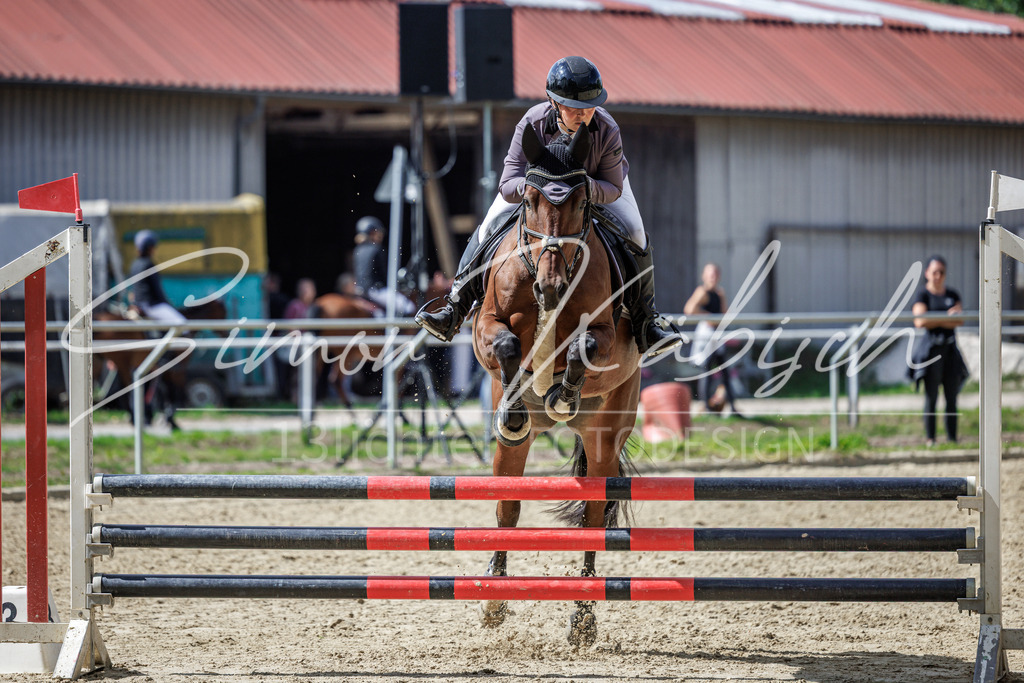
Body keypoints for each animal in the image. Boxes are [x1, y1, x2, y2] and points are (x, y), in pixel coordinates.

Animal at [472, 124, 642, 646]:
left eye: (583, 202)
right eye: (527, 200)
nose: (548, 287)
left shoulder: (609, 337)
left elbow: (580, 347)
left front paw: (563, 392)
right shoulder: (485, 324)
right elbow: (505, 342)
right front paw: (513, 408)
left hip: (607, 433)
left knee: (593, 516)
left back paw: (583, 618)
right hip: (514, 452)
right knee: (507, 508)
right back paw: (495, 599)